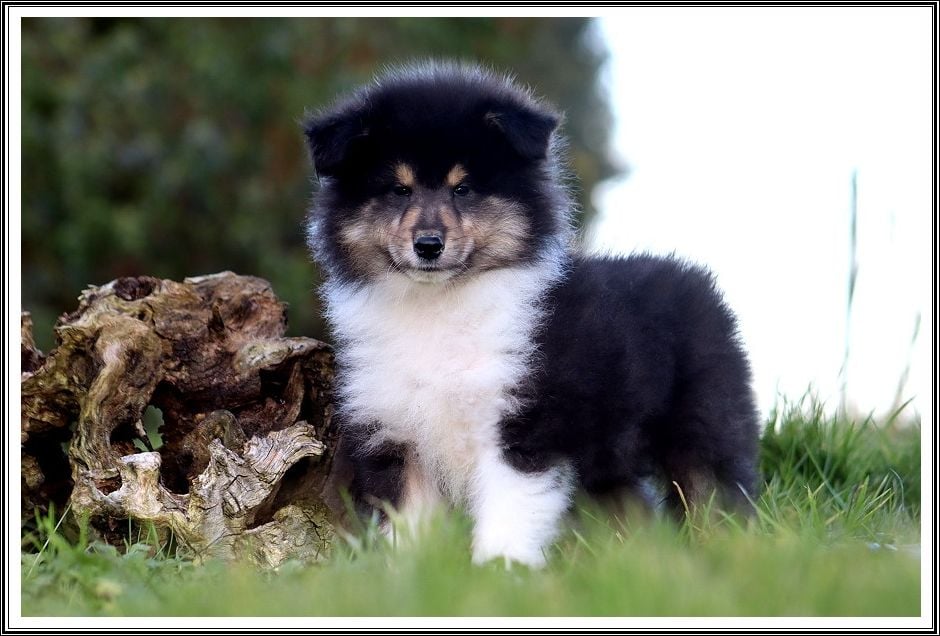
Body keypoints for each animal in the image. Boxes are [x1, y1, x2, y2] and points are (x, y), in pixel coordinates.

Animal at [304, 60, 760, 568]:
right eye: (398, 190)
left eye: (464, 188)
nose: (428, 245)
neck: (441, 305)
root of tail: (694, 276)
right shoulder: (399, 435)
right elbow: (406, 526)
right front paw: (408, 576)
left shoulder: (523, 426)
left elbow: (508, 513)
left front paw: (499, 572)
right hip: (609, 460)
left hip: (704, 422)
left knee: (716, 493)